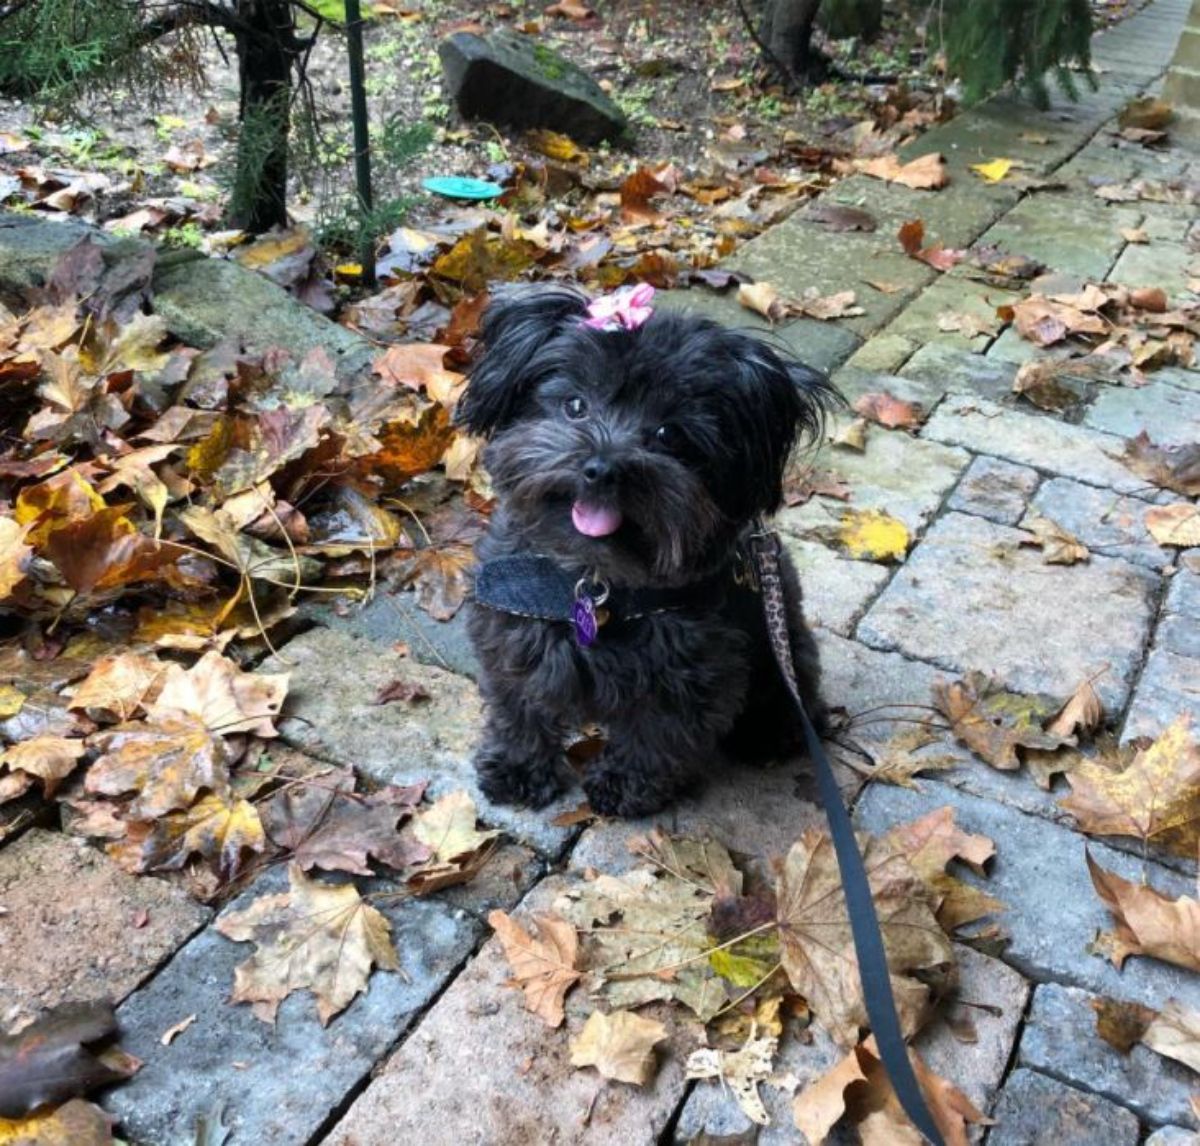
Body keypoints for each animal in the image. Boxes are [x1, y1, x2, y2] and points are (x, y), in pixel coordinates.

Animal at [458, 282, 835, 820]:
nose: (601, 468)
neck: (592, 581)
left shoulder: (689, 674)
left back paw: (772, 733)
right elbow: (518, 707)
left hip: (784, 651)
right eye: (575, 405)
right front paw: (517, 768)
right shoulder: (510, 636)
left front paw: (624, 786)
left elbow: (654, 739)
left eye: (667, 433)